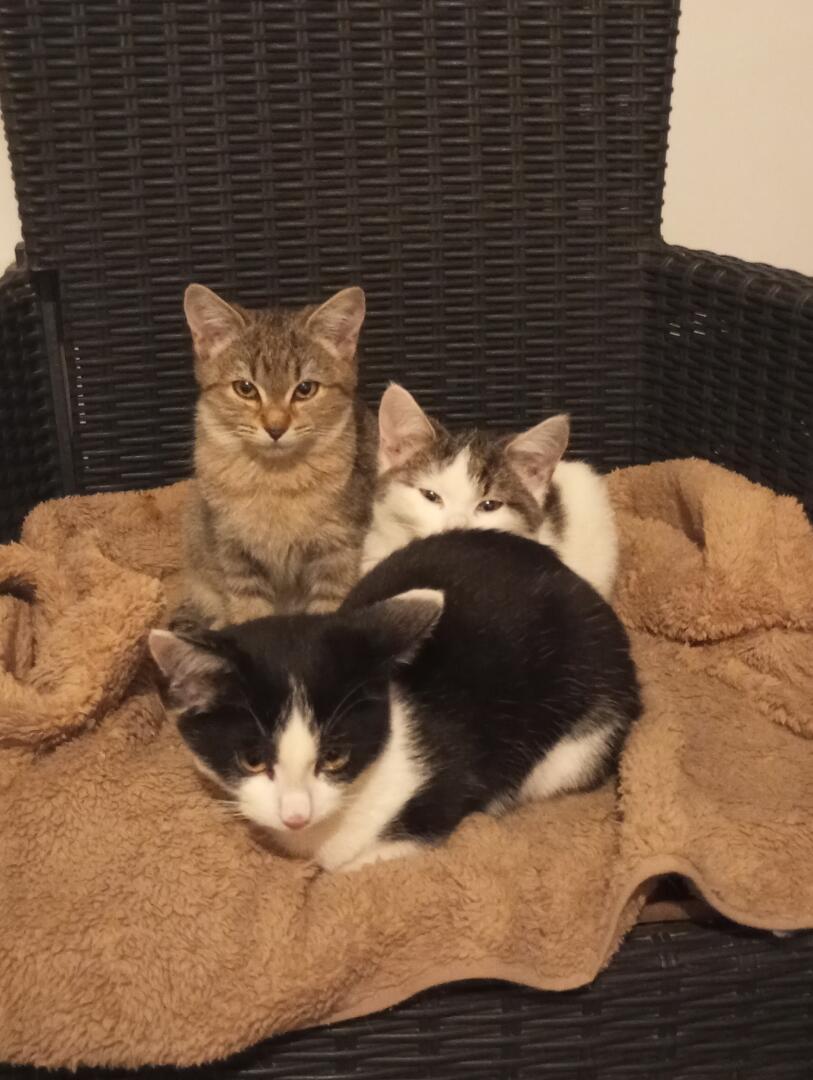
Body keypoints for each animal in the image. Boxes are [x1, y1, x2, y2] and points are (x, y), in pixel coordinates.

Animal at [150, 528, 641, 873]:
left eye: (335, 757)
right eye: (252, 760)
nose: (296, 816)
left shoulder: (453, 778)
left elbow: (365, 861)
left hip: (585, 729)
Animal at [174, 284, 377, 629]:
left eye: (306, 389)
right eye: (245, 388)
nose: (276, 427)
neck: (275, 481)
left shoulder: (338, 553)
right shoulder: (235, 554)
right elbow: (248, 612)